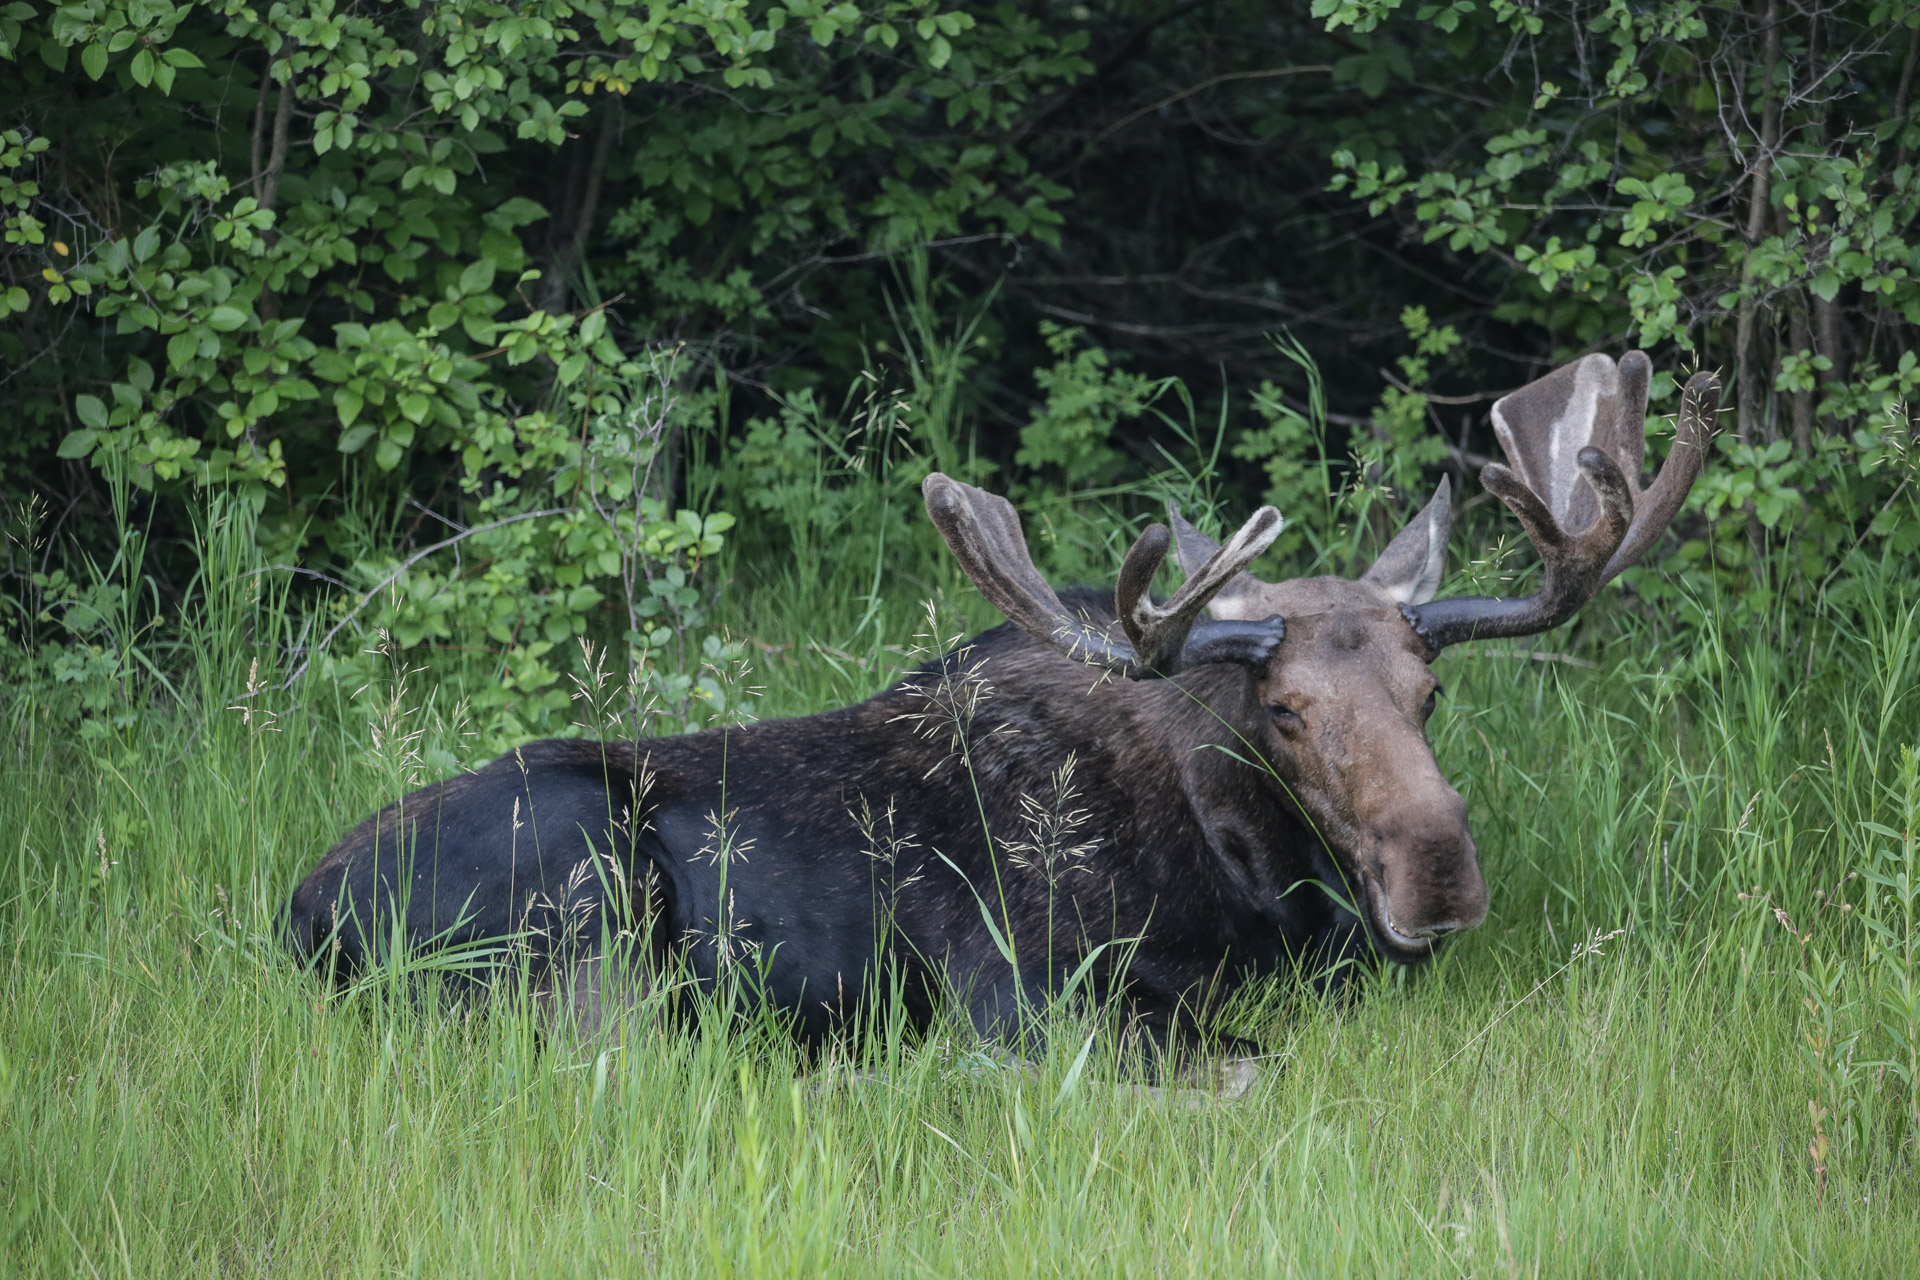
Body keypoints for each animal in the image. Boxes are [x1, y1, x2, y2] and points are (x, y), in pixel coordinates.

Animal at [284, 351, 1728, 1074]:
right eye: (1283, 707)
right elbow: (1253, 1060)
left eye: (1431, 691)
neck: (1252, 883)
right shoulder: (1025, 989)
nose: (1438, 875)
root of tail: (298, 919)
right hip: (591, 910)